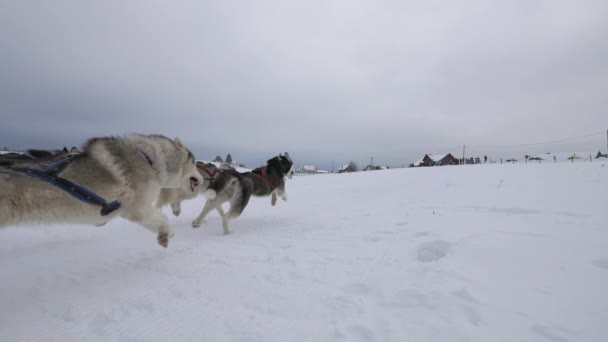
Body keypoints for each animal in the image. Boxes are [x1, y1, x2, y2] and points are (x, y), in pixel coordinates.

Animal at [0, 134, 204, 248]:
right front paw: (167, 233)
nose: (202, 178)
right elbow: (162, 218)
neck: (148, 159)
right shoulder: (139, 209)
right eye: (194, 162)